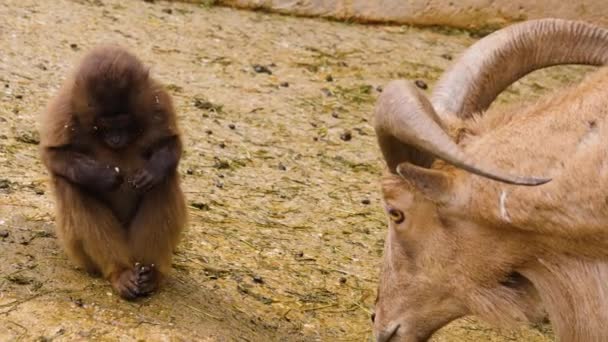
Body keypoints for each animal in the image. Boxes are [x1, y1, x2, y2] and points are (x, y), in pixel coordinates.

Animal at [39, 44, 186, 300]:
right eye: (105, 123)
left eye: (123, 120)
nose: (116, 138)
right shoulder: (65, 111)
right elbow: (53, 155)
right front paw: (102, 177)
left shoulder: (157, 102)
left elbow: (171, 144)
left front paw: (152, 172)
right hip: (81, 255)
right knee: (72, 185)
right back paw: (120, 272)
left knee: (164, 182)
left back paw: (149, 273)